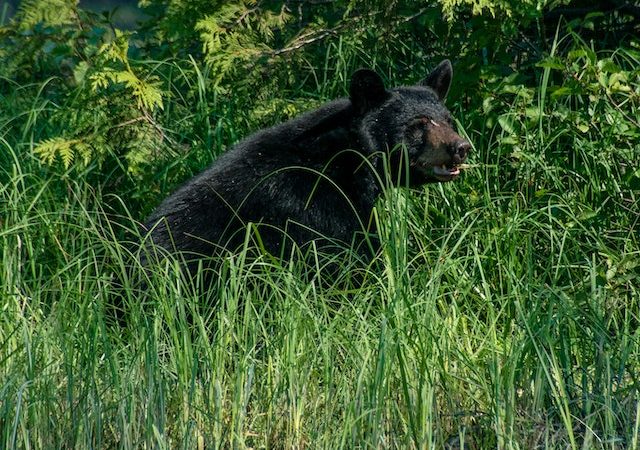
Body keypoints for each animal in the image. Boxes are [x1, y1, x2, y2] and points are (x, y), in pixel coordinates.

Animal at [145, 61, 470, 268]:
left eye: (449, 120)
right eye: (418, 124)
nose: (461, 148)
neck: (348, 159)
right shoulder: (314, 205)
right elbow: (346, 256)